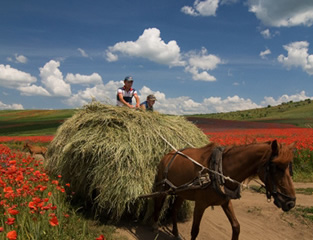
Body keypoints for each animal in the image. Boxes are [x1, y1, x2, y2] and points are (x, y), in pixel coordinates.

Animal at [152, 140, 294, 239]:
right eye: (275, 167)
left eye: (289, 168)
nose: (290, 203)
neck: (219, 170)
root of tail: (168, 155)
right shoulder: (200, 204)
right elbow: (195, 231)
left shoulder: (225, 202)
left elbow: (236, 227)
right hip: (162, 188)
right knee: (157, 205)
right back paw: (153, 226)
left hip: (182, 192)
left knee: (174, 209)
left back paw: (176, 233)